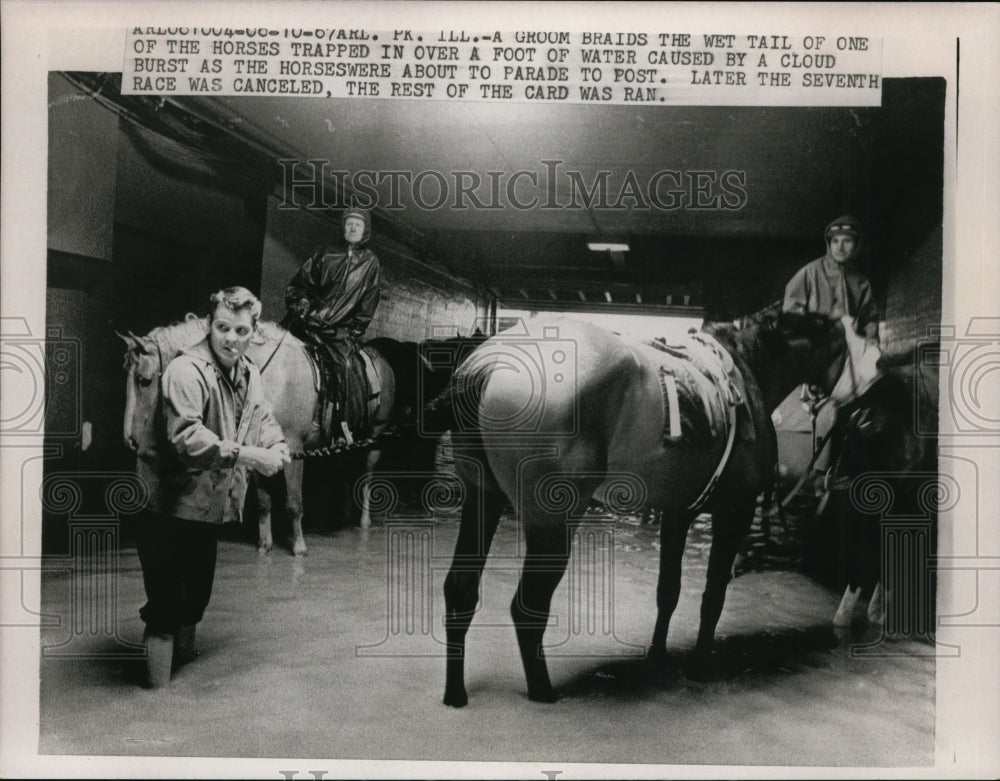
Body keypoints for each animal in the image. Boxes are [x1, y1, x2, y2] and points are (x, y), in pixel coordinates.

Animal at [119, 312, 396, 556]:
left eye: (144, 380)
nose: (129, 439)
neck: (274, 377)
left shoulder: (294, 448)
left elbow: (294, 501)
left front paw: (299, 548)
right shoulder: (261, 450)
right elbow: (264, 500)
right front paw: (265, 544)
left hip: (375, 439)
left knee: (366, 476)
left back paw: (363, 520)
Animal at [426, 306, 864, 708]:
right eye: (852, 344)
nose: (858, 406)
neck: (746, 370)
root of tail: (489, 361)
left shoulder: (678, 513)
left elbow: (667, 591)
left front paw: (657, 657)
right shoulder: (733, 513)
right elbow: (713, 595)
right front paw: (700, 665)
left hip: (482, 500)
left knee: (460, 590)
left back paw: (455, 693)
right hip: (552, 525)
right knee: (528, 605)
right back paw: (542, 691)